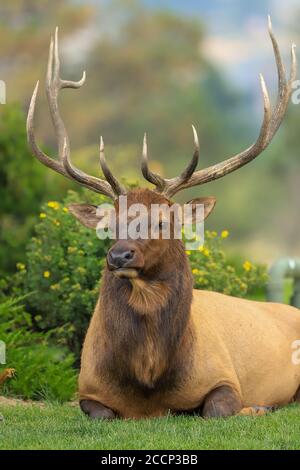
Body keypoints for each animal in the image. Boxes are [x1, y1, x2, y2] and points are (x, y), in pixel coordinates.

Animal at [26, 18, 300, 418]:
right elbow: (101, 413)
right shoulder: (87, 390)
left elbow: (217, 409)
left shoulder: (224, 376)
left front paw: (256, 408)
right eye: (109, 226)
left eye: (162, 222)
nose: (119, 256)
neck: (149, 383)